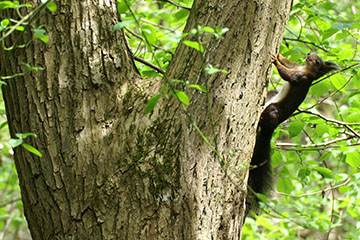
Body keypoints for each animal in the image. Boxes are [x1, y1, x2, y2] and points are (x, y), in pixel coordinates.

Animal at [249, 52, 338, 206]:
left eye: (317, 62)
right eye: (314, 55)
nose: (308, 53)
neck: (306, 70)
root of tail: (270, 130)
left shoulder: (300, 77)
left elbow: (288, 76)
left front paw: (275, 61)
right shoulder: (297, 67)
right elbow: (289, 63)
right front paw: (279, 55)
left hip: (273, 111)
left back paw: (260, 118)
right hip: (272, 94)